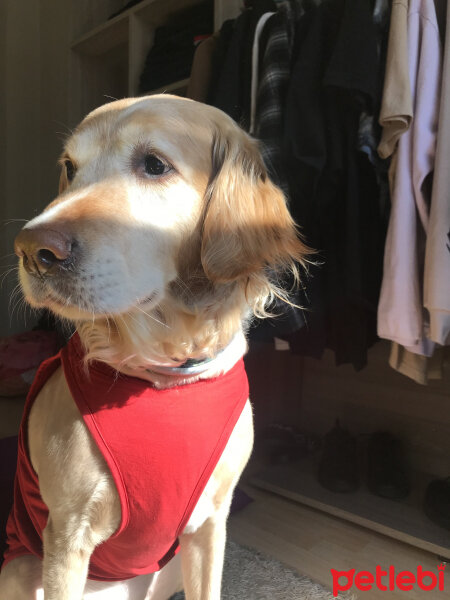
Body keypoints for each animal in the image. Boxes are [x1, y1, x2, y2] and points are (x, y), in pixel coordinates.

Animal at [0, 96, 306, 596]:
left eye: (155, 165)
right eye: (70, 166)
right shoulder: (65, 535)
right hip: (23, 566)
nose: (31, 251)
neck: (163, 374)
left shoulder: (211, 524)